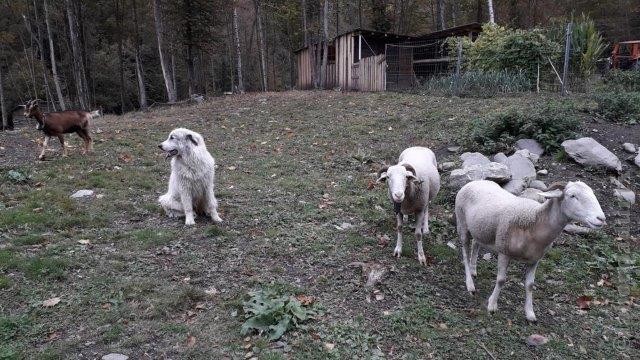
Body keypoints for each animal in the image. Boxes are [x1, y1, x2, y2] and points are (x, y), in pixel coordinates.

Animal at [456, 179, 604, 322]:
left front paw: (530, 313)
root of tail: (476, 181)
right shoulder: (504, 251)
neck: (534, 220)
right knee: (465, 251)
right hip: (462, 222)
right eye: (572, 196)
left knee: (476, 244)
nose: (601, 218)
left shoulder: (535, 259)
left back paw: (473, 269)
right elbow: (501, 280)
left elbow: (530, 285)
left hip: (480, 229)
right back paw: (470, 283)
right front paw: (492, 305)